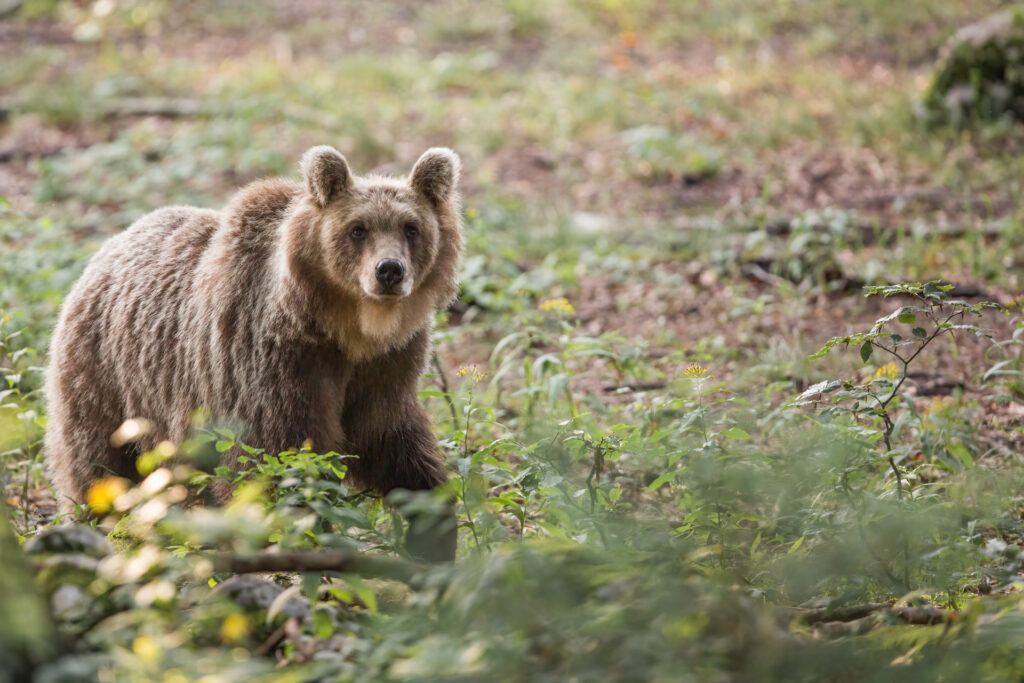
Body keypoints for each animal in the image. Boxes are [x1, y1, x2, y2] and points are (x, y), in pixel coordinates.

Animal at [46, 144, 462, 561]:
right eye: (357, 229)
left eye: (412, 228)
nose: (389, 270)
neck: (344, 330)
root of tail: (111, 244)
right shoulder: (272, 361)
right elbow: (275, 460)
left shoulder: (386, 365)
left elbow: (392, 439)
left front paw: (435, 531)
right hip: (107, 378)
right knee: (99, 465)